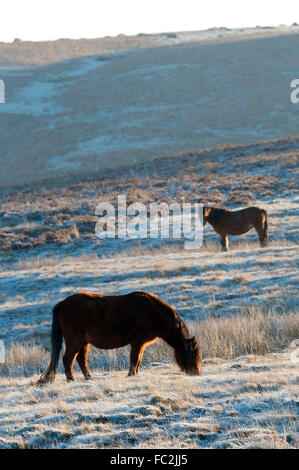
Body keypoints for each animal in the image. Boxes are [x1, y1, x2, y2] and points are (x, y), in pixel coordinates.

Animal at [37, 288, 202, 384]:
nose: (195, 373)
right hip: (75, 341)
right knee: (68, 359)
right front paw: (130, 375)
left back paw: (88, 377)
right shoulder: (137, 341)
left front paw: (134, 374)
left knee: (80, 359)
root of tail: (63, 303)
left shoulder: (141, 343)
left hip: (84, 342)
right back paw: (71, 379)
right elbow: (134, 359)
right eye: (192, 354)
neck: (152, 312)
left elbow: (138, 360)